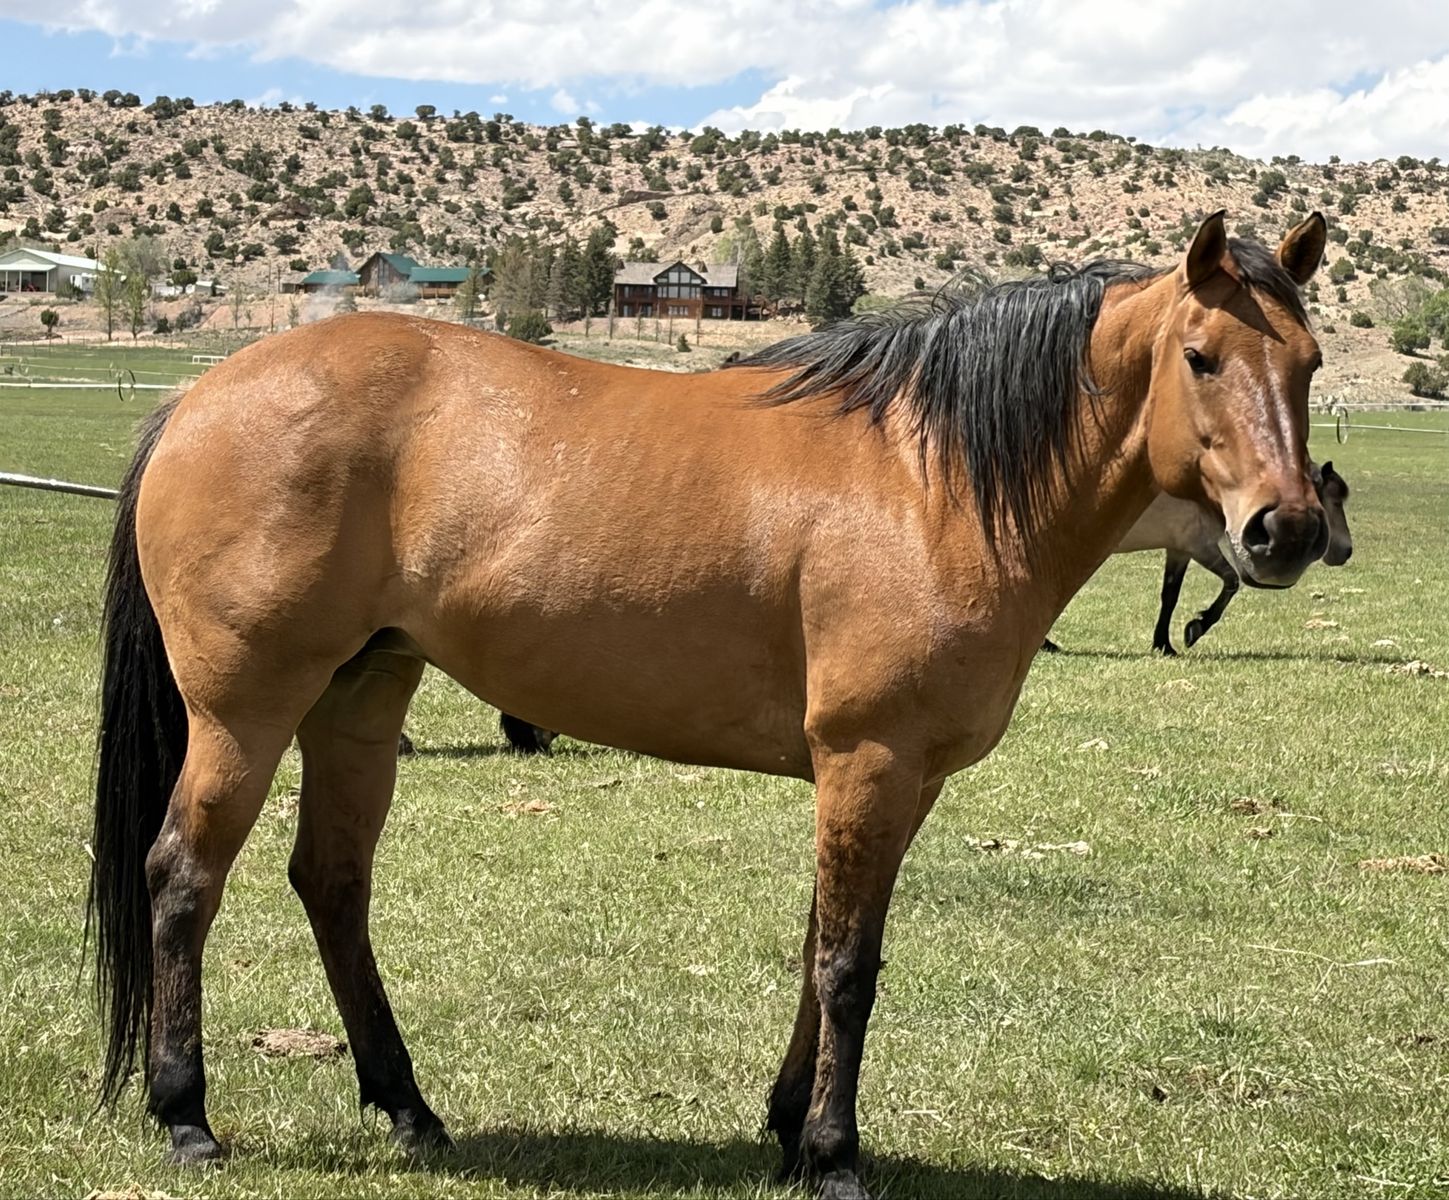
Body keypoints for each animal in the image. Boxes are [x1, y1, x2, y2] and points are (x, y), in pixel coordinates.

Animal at [90, 211, 1329, 1199]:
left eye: (1310, 365)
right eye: (1201, 357)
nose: (1288, 531)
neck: (926, 481)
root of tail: (200, 396)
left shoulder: (897, 779)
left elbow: (824, 944)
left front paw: (786, 1130)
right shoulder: (870, 761)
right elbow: (847, 967)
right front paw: (833, 1156)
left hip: (361, 696)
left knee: (333, 884)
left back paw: (410, 1110)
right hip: (245, 714)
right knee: (182, 879)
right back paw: (187, 1115)